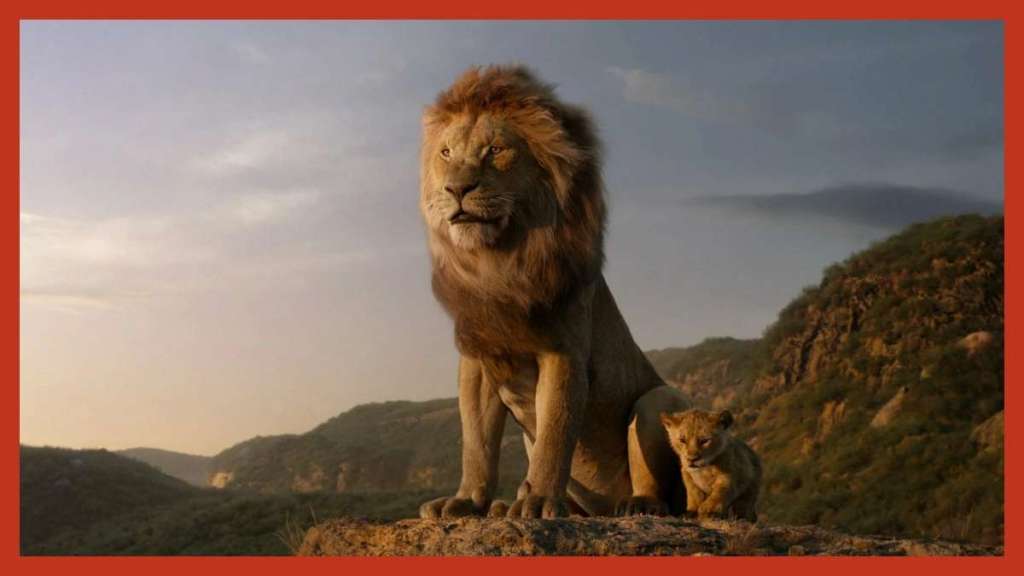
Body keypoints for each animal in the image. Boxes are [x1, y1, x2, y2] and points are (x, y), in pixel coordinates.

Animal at [417, 64, 690, 519]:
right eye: (446, 154)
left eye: (495, 150)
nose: (457, 189)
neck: (498, 262)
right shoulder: (478, 359)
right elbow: (476, 443)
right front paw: (466, 501)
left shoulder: (562, 351)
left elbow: (555, 433)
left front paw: (540, 500)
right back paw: (507, 505)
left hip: (659, 400)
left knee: (660, 487)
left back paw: (636, 505)